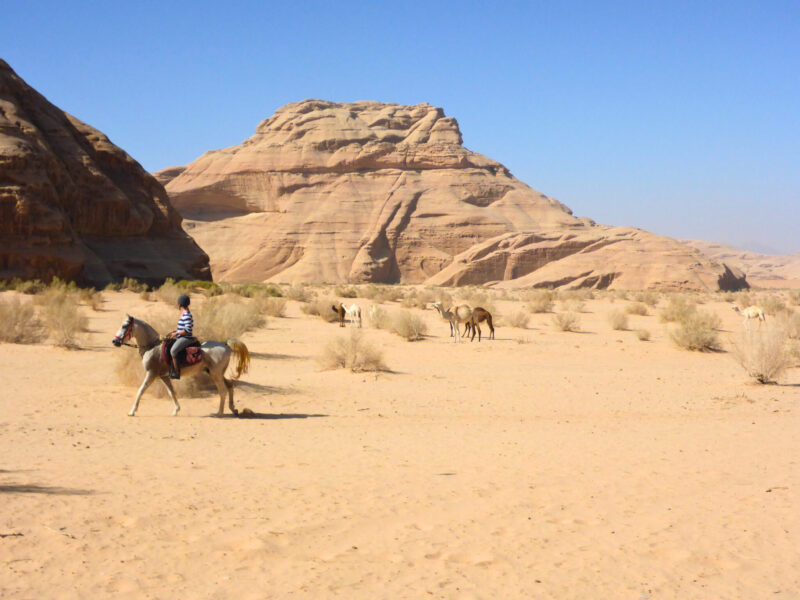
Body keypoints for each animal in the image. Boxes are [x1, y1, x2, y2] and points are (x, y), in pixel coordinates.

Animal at [112, 315, 250, 417]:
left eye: (124, 326)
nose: (114, 341)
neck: (152, 347)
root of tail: (225, 345)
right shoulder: (163, 376)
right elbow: (171, 392)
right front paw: (176, 410)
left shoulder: (151, 374)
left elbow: (141, 390)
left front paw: (132, 411)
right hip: (215, 373)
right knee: (230, 385)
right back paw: (233, 409)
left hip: (215, 375)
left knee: (222, 391)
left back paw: (220, 413)